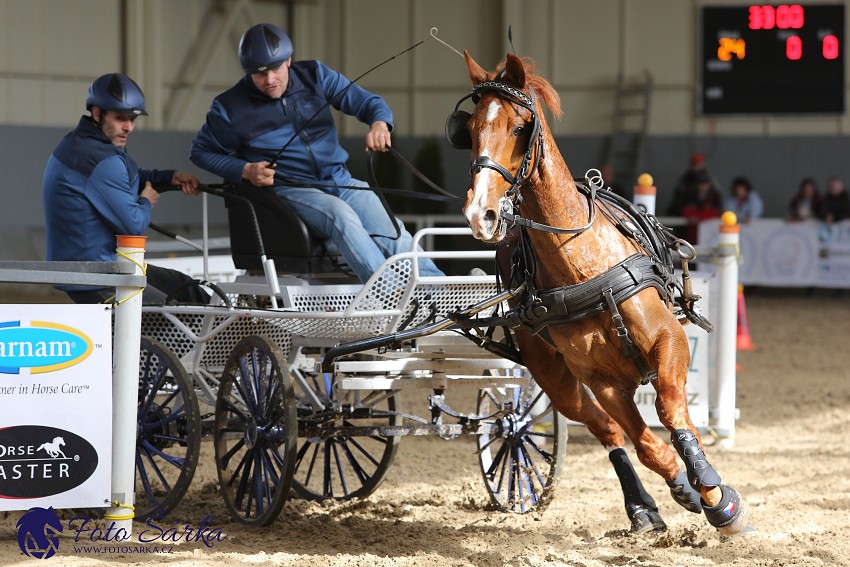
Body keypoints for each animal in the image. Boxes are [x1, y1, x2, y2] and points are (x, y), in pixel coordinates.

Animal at [450, 52, 748, 536]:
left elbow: (670, 408)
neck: (580, 263)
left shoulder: (669, 340)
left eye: (519, 127)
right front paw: (686, 488)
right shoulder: (601, 379)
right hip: (556, 380)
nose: (482, 213)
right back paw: (642, 506)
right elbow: (646, 445)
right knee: (603, 429)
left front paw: (716, 494)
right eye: (471, 128)